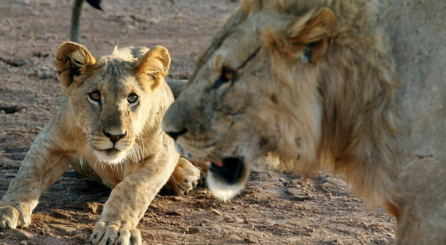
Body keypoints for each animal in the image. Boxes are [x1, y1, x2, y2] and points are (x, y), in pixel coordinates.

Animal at [0, 42, 200, 245]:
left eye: (132, 98)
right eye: (95, 96)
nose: (115, 136)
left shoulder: (161, 153)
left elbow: (133, 190)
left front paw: (115, 228)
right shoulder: (51, 141)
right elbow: (27, 175)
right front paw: (11, 208)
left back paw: (185, 175)